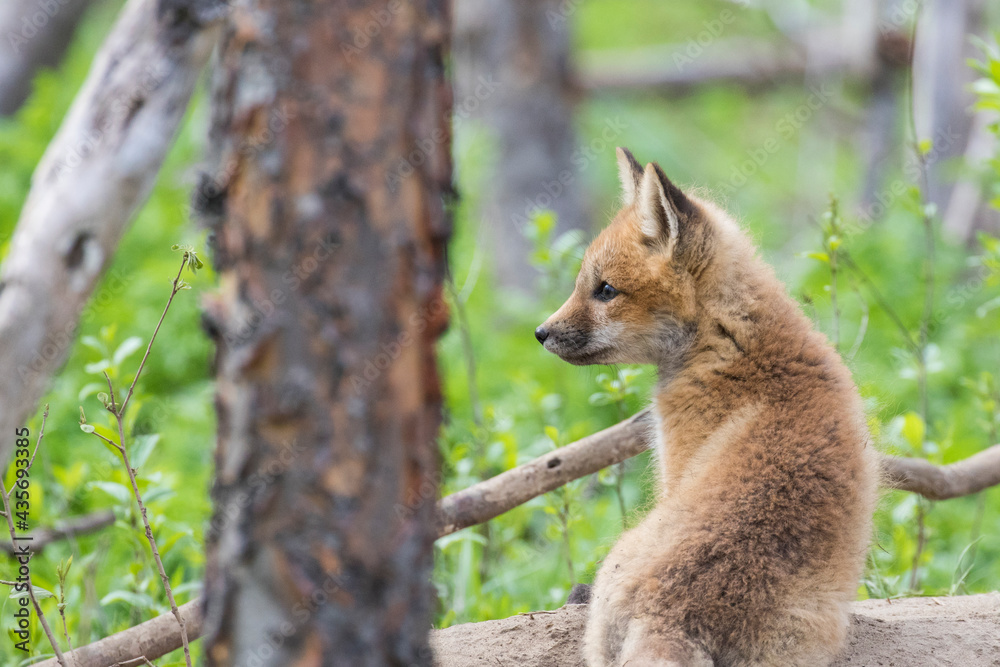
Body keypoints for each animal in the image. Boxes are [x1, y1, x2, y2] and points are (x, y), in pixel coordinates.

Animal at [535, 148, 878, 667]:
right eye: (583, 284)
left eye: (606, 290)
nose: (541, 333)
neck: (727, 340)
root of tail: (670, 614)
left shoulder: (675, 464)